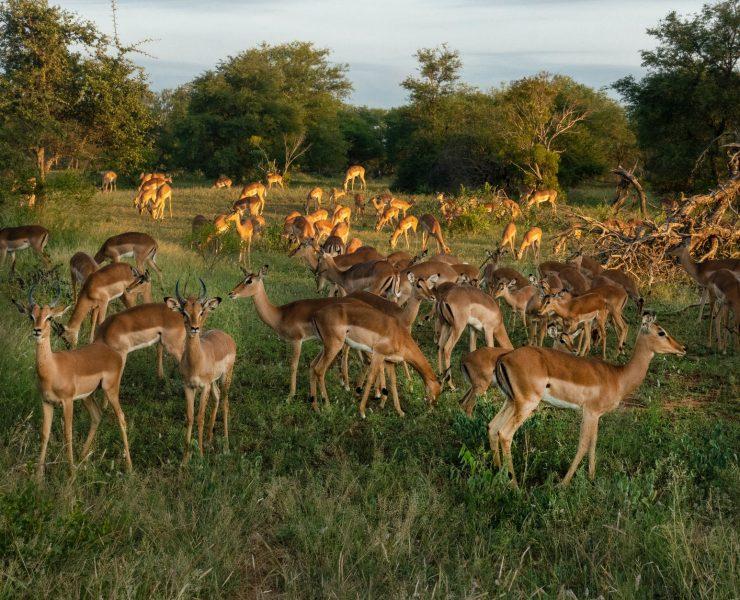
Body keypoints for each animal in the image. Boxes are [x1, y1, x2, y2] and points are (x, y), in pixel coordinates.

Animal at [13, 285, 132, 481]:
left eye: (49, 317)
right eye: (32, 315)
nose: (37, 330)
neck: (52, 369)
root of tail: (112, 352)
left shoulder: (67, 402)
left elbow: (67, 433)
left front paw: (71, 474)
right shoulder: (47, 402)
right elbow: (44, 433)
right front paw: (38, 476)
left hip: (110, 391)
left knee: (121, 418)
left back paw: (129, 467)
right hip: (87, 397)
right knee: (97, 415)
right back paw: (82, 458)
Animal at [166, 279, 236, 462]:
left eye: (201, 311)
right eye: (184, 312)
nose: (195, 328)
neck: (197, 361)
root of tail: (226, 337)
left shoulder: (203, 387)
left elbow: (200, 417)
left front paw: (201, 456)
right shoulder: (188, 387)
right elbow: (190, 417)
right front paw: (185, 459)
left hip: (226, 377)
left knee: (225, 402)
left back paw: (226, 446)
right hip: (214, 382)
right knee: (217, 398)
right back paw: (209, 441)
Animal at [489, 314, 685, 487]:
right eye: (661, 332)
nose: (682, 348)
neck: (619, 377)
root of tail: (504, 358)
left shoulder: (596, 415)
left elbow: (593, 443)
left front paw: (591, 478)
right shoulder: (590, 412)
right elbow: (583, 444)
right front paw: (563, 483)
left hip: (511, 402)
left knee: (493, 427)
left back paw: (498, 472)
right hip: (527, 404)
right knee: (505, 433)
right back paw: (515, 485)